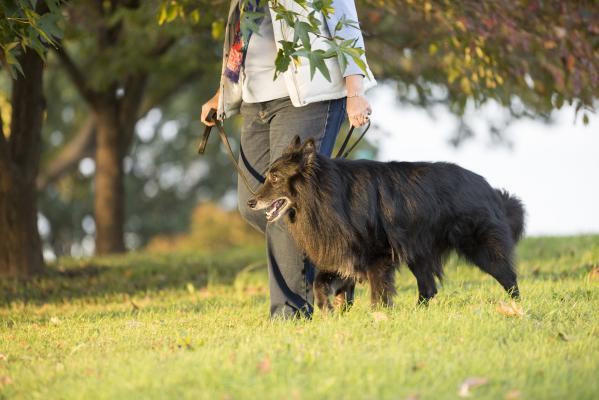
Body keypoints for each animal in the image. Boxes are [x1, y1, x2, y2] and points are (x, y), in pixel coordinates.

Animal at [248, 136, 524, 310]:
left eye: (275, 177)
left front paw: (378, 317)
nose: (251, 202)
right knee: (428, 288)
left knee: (509, 278)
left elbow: (378, 294)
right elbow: (318, 284)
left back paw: (517, 307)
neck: (324, 196)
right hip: (418, 254)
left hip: (481, 248)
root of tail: (489, 188)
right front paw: (327, 308)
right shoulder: (341, 256)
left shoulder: (377, 257)